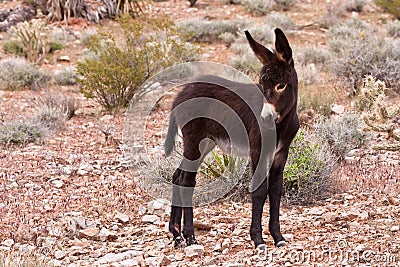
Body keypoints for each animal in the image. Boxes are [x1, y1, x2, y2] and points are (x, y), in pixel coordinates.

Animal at [164, 28, 298, 250]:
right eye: (262, 85)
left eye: (281, 85)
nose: (265, 118)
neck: (281, 124)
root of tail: (180, 95)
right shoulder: (258, 151)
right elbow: (259, 190)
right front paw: (258, 239)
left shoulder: (281, 153)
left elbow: (275, 190)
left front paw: (278, 237)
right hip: (194, 142)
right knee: (186, 181)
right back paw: (190, 236)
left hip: (206, 143)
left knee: (177, 175)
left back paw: (176, 235)